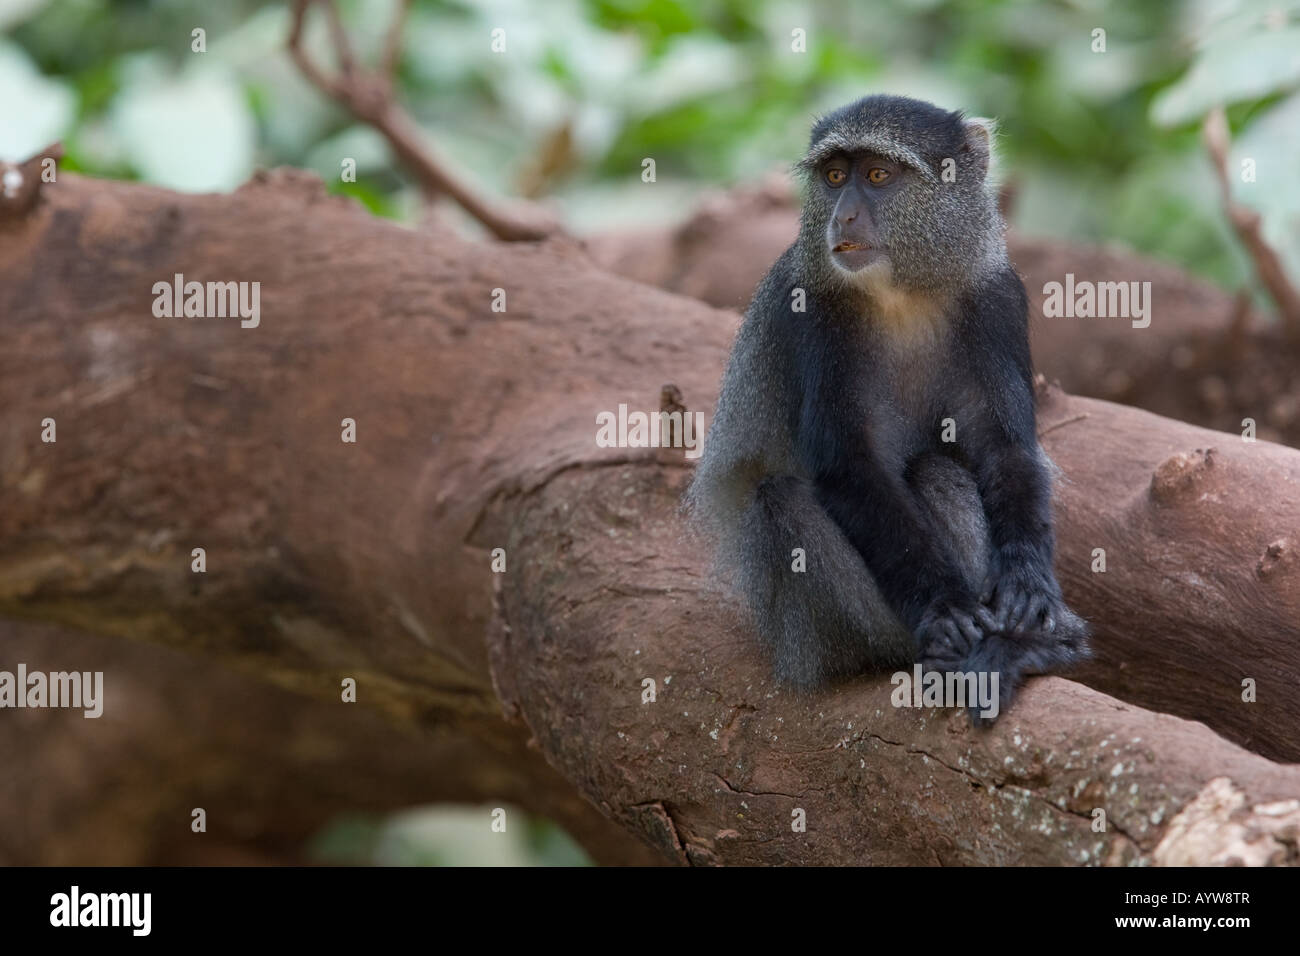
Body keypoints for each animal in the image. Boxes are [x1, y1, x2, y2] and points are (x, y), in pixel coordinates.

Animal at [686, 95, 1092, 723]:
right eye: (834, 177)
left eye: (878, 175)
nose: (844, 217)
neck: (901, 294)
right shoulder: (814, 311)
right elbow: (851, 468)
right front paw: (946, 608)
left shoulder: (995, 294)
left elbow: (1005, 449)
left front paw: (1029, 587)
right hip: (843, 629)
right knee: (780, 500)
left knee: (937, 469)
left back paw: (1022, 646)